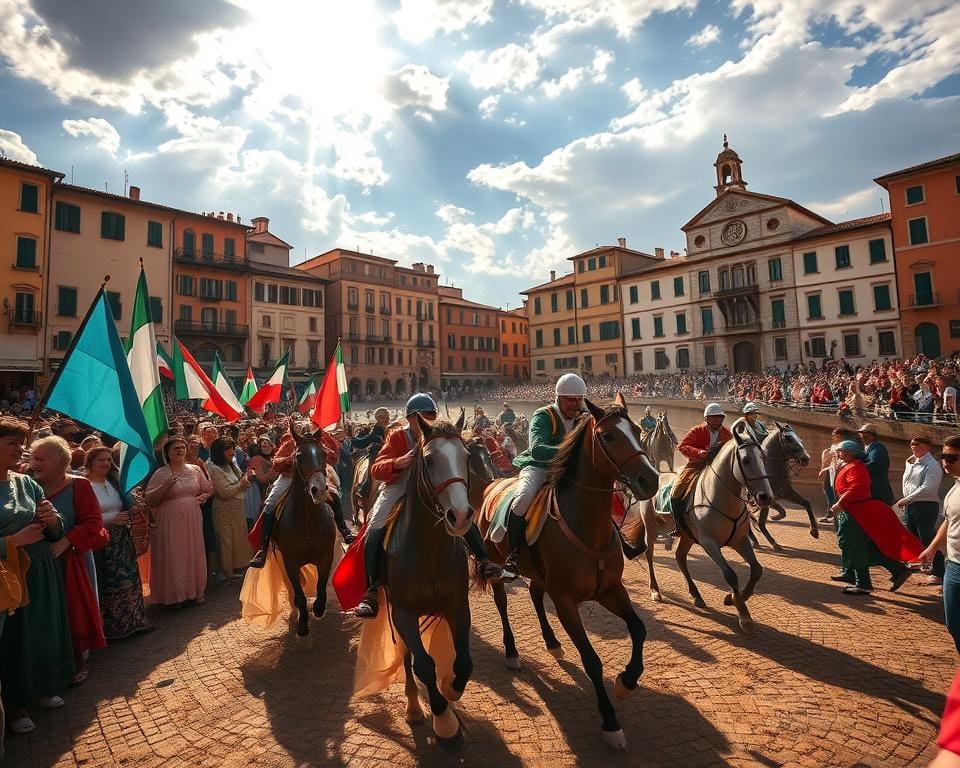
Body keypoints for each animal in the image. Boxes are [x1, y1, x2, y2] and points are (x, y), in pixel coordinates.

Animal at [272, 432, 340, 636]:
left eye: (324, 454)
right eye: (299, 457)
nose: (319, 490)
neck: (308, 521)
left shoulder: (326, 556)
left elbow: (321, 584)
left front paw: (319, 608)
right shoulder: (290, 562)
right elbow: (299, 594)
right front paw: (302, 625)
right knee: (290, 588)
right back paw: (294, 613)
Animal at [382, 412, 472, 752]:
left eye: (466, 456)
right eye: (430, 460)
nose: (460, 515)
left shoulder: (458, 607)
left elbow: (464, 661)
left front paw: (452, 689)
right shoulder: (403, 612)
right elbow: (422, 664)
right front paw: (445, 724)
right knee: (408, 657)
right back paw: (413, 707)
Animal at [480, 396, 660, 752]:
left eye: (636, 430)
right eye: (608, 436)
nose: (651, 480)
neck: (587, 524)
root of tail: (491, 484)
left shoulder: (611, 589)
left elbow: (639, 628)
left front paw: (627, 680)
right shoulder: (565, 601)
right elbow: (591, 660)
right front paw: (610, 721)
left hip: (537, 573)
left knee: (536, 595)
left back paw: (552, 643)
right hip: (497, 566)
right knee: (503, 604)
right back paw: (512, 651)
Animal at [636, 416, 772, 632]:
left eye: (764, 458)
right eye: (746, 460)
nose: (765, 496)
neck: (721, 499)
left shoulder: (740, 540)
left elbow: (757, 570)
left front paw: (733, 598)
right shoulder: (709, 543)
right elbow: (730, 575)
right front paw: (743, 614)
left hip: (686, 535)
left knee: (680, 557)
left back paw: (696, 595)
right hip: (651, 525)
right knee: (649, 554)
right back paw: (655, 591)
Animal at [752, 420, 816, 552]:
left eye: (799, 438)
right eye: (787, 438)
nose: (805, 458)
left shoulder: (785, 493)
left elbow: (804, 504)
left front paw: (814, 531)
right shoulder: (765, 501)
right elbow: (761, 522)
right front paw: (774, 543)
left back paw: (755, 541)